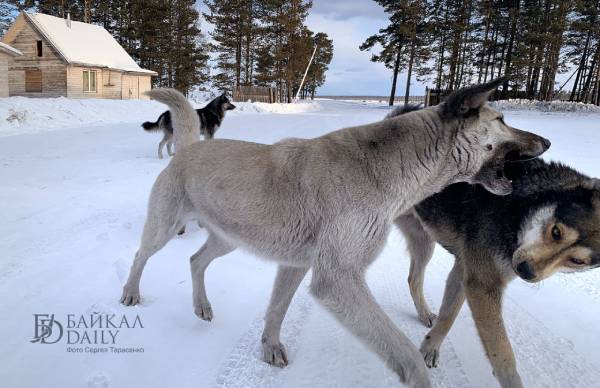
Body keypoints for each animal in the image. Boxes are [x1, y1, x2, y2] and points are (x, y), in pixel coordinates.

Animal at [120, 79, 548, 388]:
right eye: (503, 119)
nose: (546, 141)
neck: (394, 167)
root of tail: (188, 148)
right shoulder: (337, 278)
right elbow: (406, 353)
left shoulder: (296, 266)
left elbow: (276, 311)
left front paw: (270, 349)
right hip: (164, 227)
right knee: (141, 255)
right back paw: (130, 293)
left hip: (227, 238)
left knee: (196, 260)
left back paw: (202, 306)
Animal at [398, 155, 600, 388]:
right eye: (556, 232)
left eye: (577, 261)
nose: (525, 271)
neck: (518, 205)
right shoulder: (482, 284)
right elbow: (503, 355)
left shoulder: (466, 273)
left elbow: (448, 316)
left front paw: (429, 349)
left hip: (424, 241)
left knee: (413, 279)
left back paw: (423, 313)